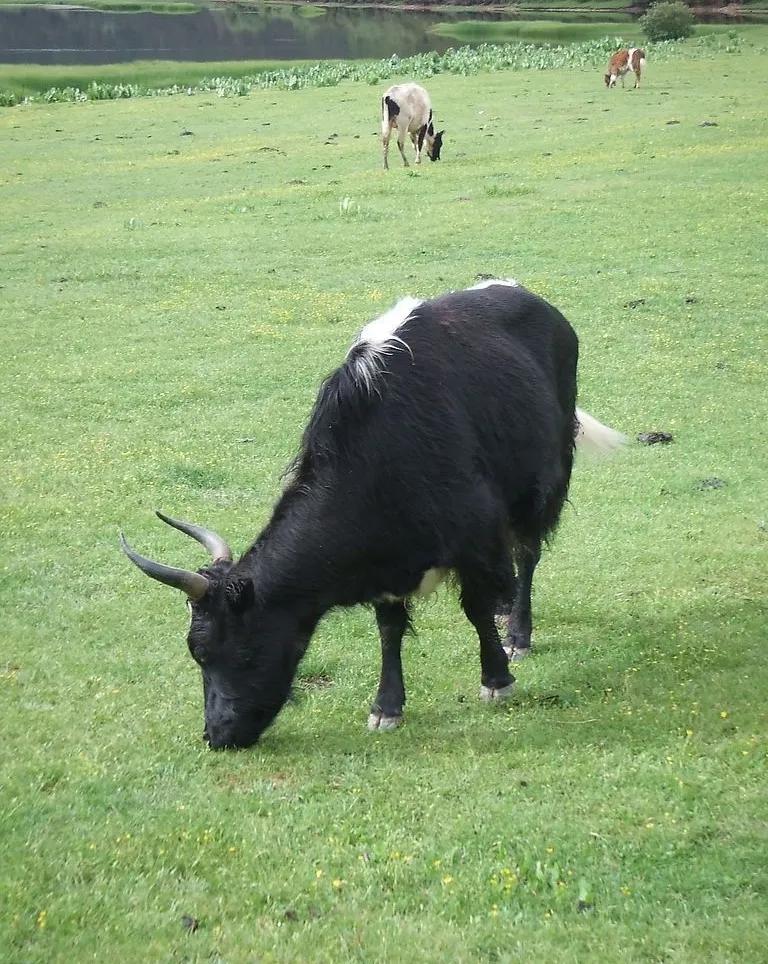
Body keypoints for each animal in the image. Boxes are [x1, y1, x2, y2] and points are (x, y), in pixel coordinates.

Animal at [120, 282, 624, 748]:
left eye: (217, 651)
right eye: (196, 653)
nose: (216, 735)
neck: (378, 452)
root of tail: (533, 300)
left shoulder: (474, 539)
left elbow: (475, 608)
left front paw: (497, 679)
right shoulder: (386, 562)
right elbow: (389, 629)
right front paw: (387, 707)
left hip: (541, 484)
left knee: (527, 554)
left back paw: (517, 633)